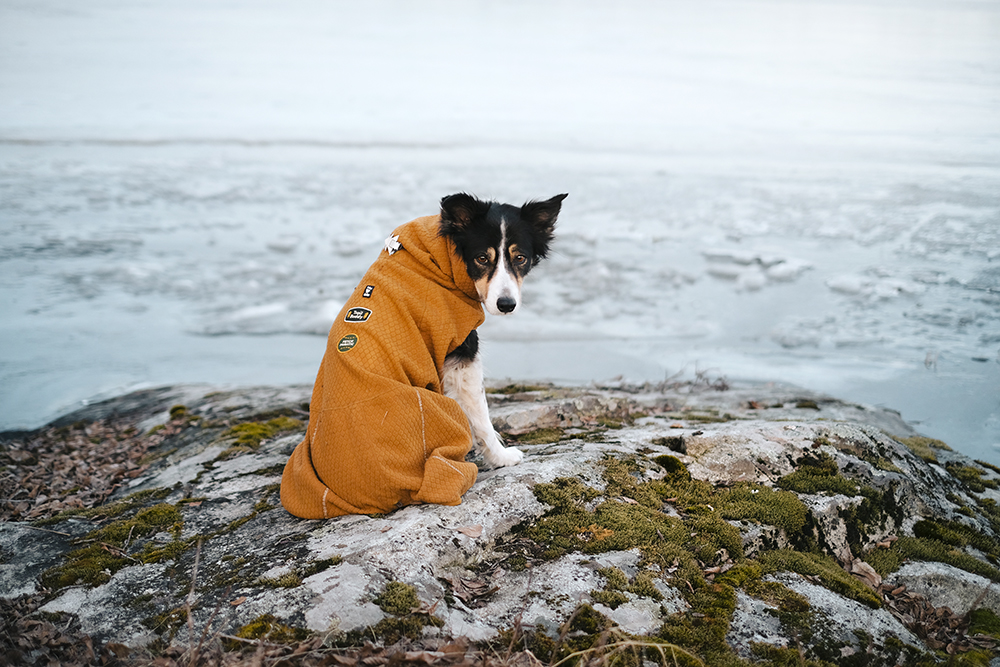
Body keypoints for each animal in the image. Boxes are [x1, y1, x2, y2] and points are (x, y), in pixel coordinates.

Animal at [436, 190, 568, 468]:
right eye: (482, 258)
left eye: (520, 258)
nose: (506, 305)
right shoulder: (465, 357)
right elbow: (481, 416)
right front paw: (501, 457)